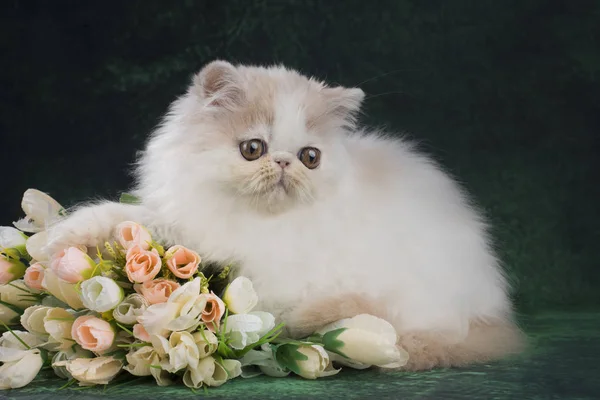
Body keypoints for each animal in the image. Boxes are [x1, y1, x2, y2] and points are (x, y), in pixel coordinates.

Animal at [44, 61, 524, 370]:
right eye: (253, 148)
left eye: (310, 157)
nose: (284, 163)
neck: (253, 220)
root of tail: (491, 312)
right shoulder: (186, 222)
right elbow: (120, 217)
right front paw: (57, 245)